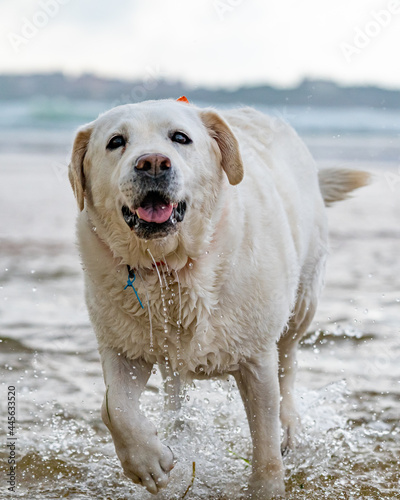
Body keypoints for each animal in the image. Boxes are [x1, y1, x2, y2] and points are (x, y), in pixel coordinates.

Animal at [69, 99, 368, 498]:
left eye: (180, 137)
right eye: (116, 141)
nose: (152, 163)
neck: (171, 270)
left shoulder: (255, 357)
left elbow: (264, 440)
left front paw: (266, 488)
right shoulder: (122, 347)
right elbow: (114, 408)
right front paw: (147, 462)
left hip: (302, 302)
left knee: (288, 365)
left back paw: (290, 427)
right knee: (173, 386)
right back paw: (177, 427)